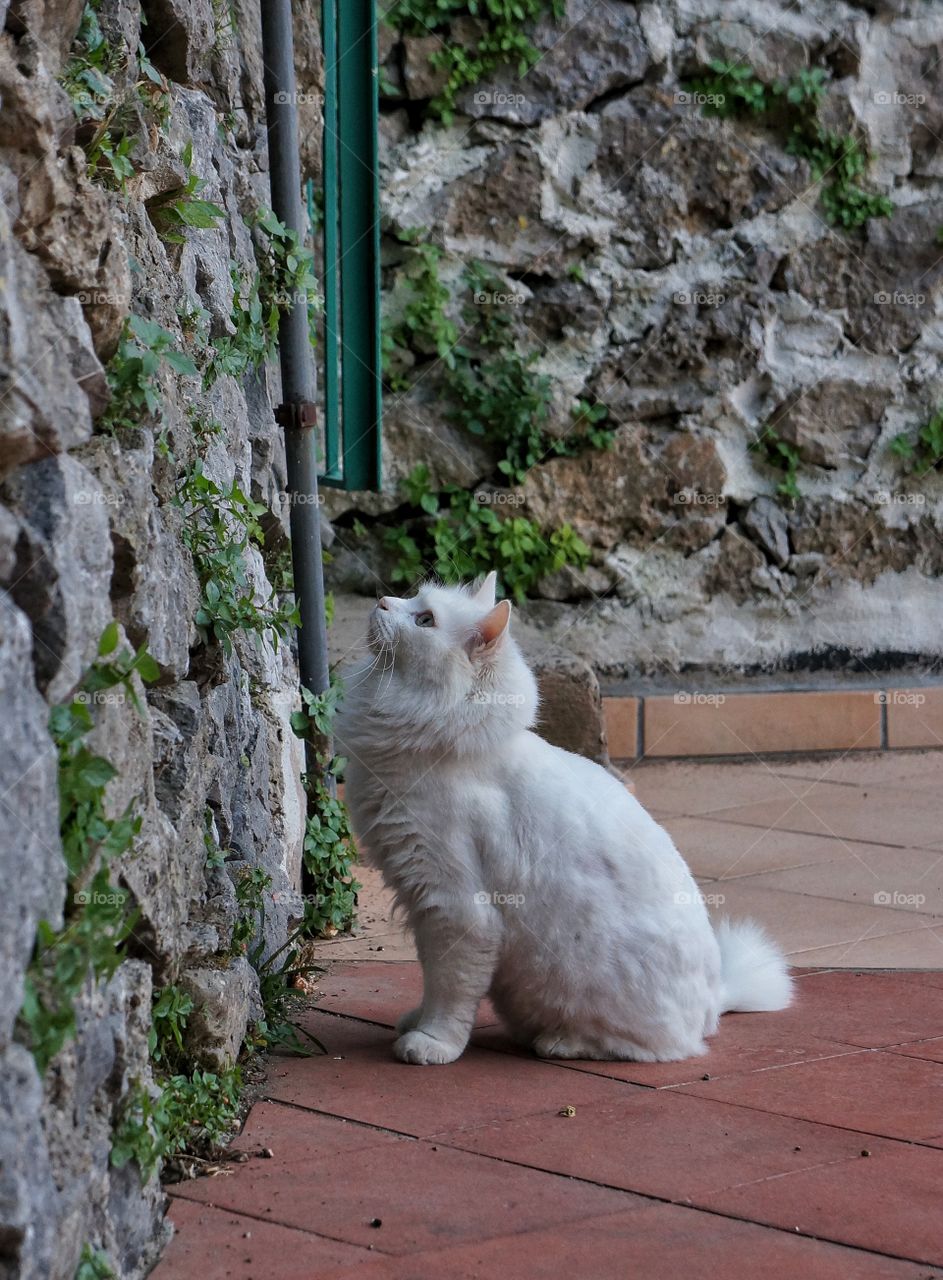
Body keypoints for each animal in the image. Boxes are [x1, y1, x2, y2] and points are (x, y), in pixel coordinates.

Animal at [335, 576, 793, 1064]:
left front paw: (433, 1043)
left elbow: (449, 991)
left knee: (649, 1047)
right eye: (411, 597)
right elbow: (429, 981)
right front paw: (417, 1021)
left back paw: (559, 1042)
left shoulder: (456, 910)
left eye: (425, 620)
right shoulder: (423, 904)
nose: (382, 601)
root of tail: (713, 1001)